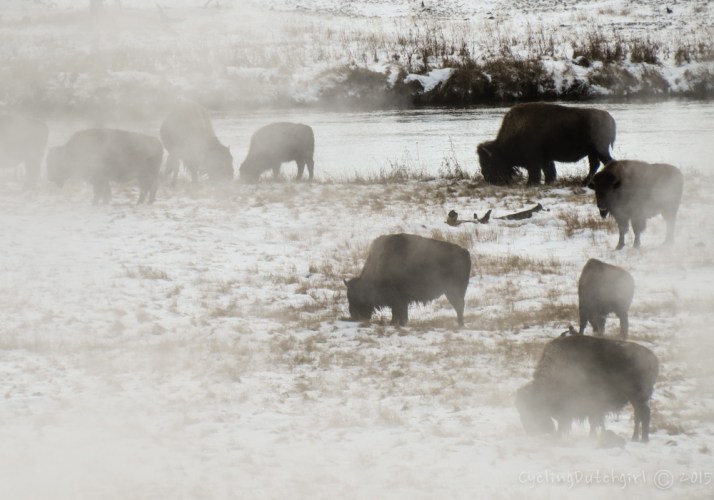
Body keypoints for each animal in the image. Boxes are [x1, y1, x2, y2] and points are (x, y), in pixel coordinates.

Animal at [477, 102, 616, 186]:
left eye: (489, 162)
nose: (488, 179)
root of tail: (609, 116)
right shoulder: (546, 159)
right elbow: (549, 171)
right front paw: (548, 182)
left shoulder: (534, 160)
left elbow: (536, 172)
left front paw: (531, 184)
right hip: (592, 152)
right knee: (595, 165)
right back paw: (585, 183)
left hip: (600, 150)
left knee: (606, 162)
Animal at [516, 334, 658, 442]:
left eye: (532, 408)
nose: (531, 432)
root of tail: (653, 357)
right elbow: (593, 422)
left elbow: (591, 422)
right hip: (635, 399)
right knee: (638, 416)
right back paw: (635, 438)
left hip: (638, 397)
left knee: (644, 414)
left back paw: (643, 440)